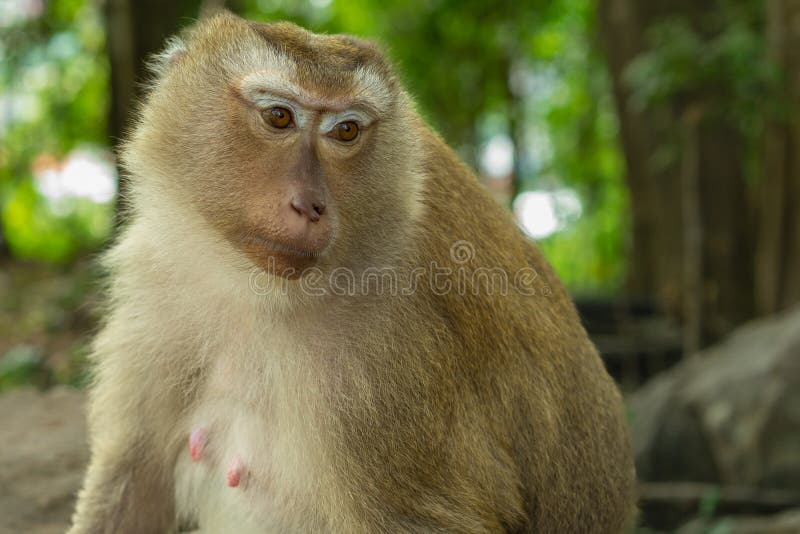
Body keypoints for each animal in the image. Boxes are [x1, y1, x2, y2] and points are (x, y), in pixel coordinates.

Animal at [68, 11, 636, 534]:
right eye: (279, 117)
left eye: (346, 130)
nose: (310, 205)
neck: (258, 295)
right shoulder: (156, 277)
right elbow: (134, 471)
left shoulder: (382, 359)